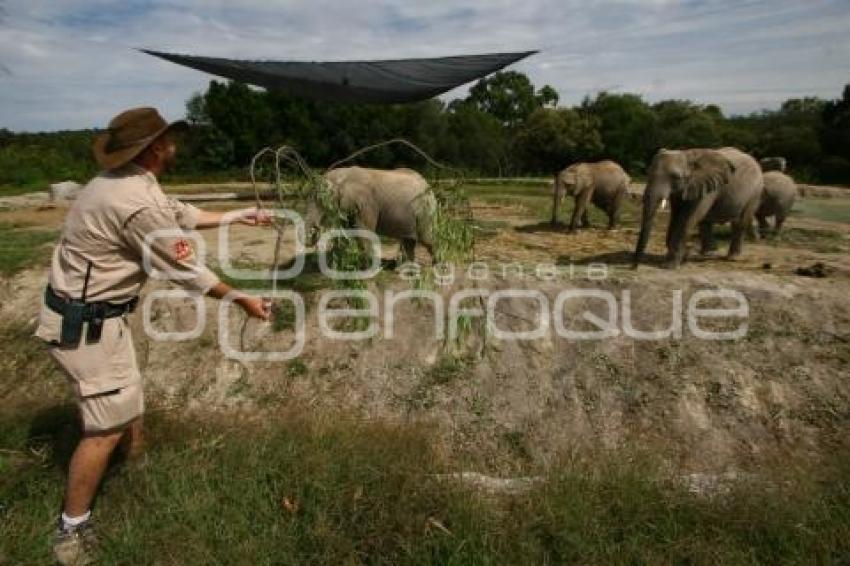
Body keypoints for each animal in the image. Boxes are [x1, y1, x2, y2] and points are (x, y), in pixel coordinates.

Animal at [304, 164, 434, 262]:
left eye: (321, 200)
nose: (316, 228)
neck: (343, 175)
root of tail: (427, 183)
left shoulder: (366, 204)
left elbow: (364, 231)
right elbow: (347, 231)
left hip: (425, 209)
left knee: (426, 239)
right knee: (409, 240)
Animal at [628, 148, 760, 270]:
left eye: (675, 176)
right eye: (648, 173)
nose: (633, 267)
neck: (687, 155)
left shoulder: (708, 188)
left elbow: (688, 219)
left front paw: (669, 266)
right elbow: (675, 217)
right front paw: (682, 258)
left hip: (754, 193)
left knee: (740, 223)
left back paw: (732, 258)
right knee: (706, 223)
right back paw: (707, 254)